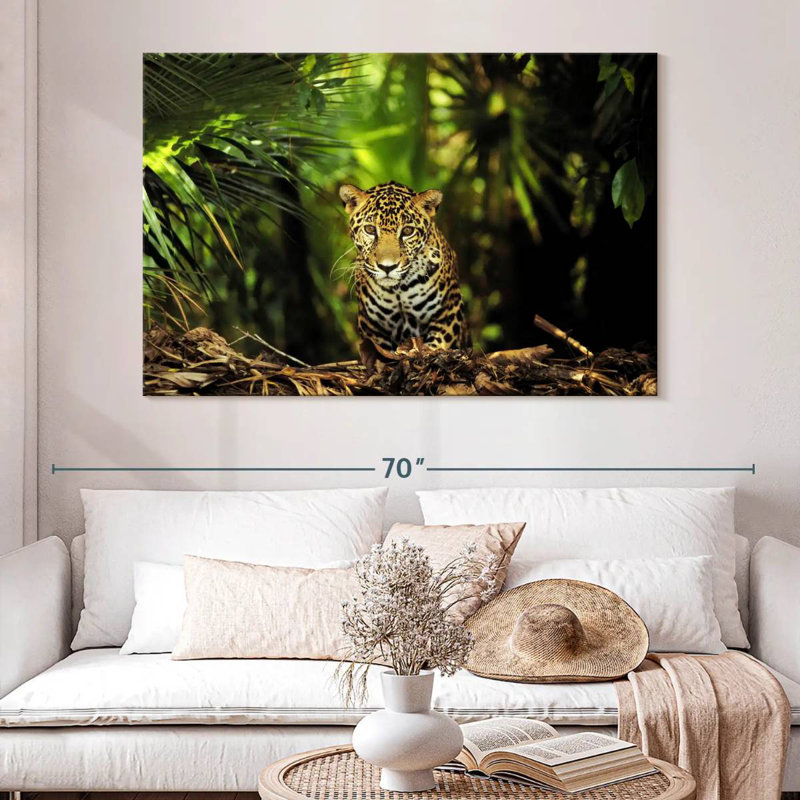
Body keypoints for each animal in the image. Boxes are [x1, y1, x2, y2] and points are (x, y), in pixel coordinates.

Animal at [338, 181, 469, 353]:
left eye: (407, 231)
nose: (387, 267)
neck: (399, 290)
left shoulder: (449, 310)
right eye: (370, 229)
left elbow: (437, 344)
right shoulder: (371, 326)